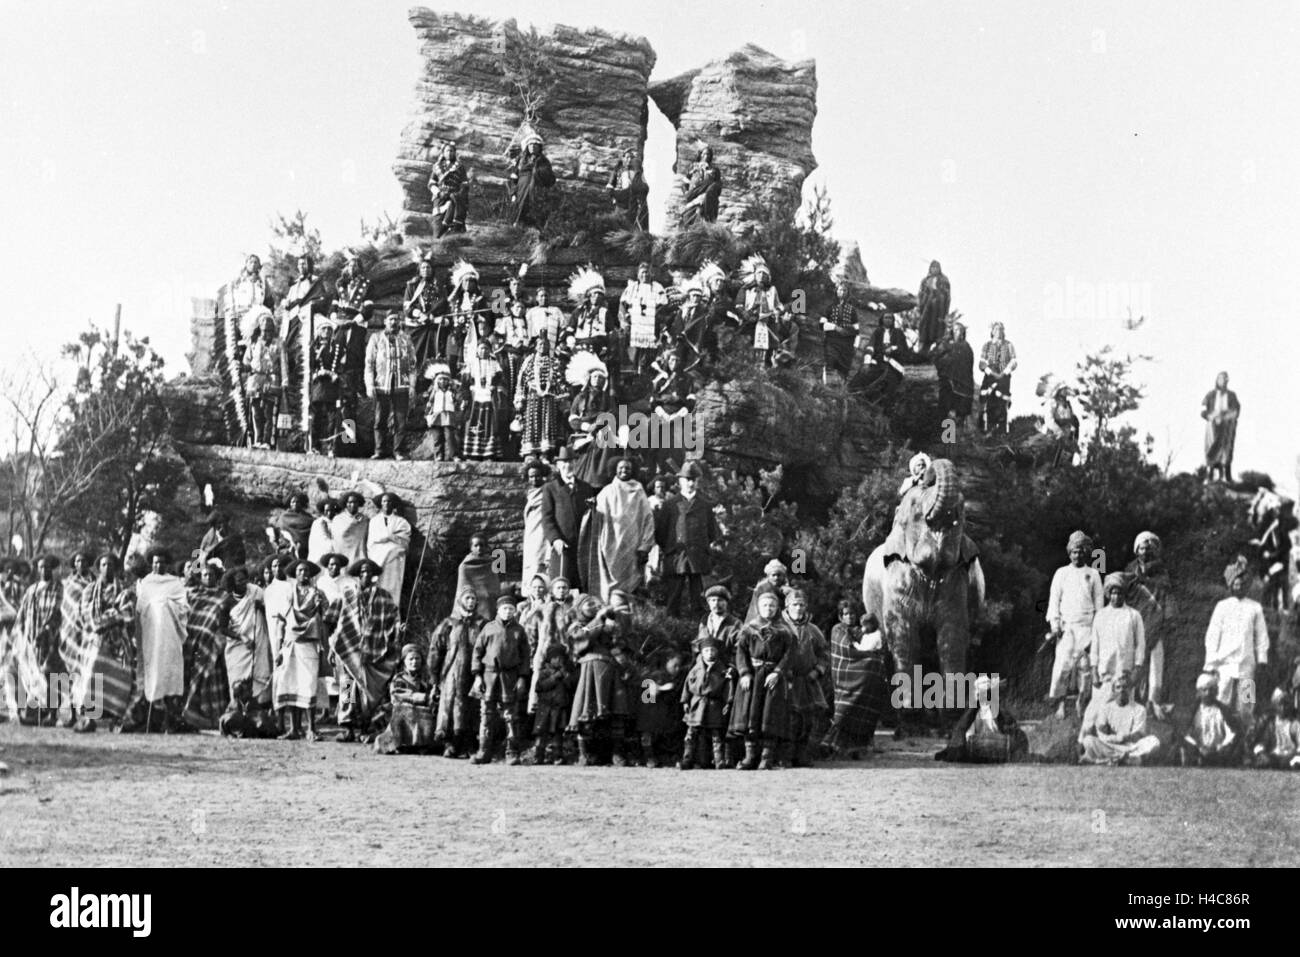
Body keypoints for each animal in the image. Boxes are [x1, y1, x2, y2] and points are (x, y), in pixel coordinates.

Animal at [863, 460, 982, 728]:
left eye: (962, 508)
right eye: (915, 506)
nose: (925, 472)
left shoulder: (956, 583)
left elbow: (952, 635)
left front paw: (951, 714)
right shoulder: (897, 579)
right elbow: (905, 635)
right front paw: (909, 712)